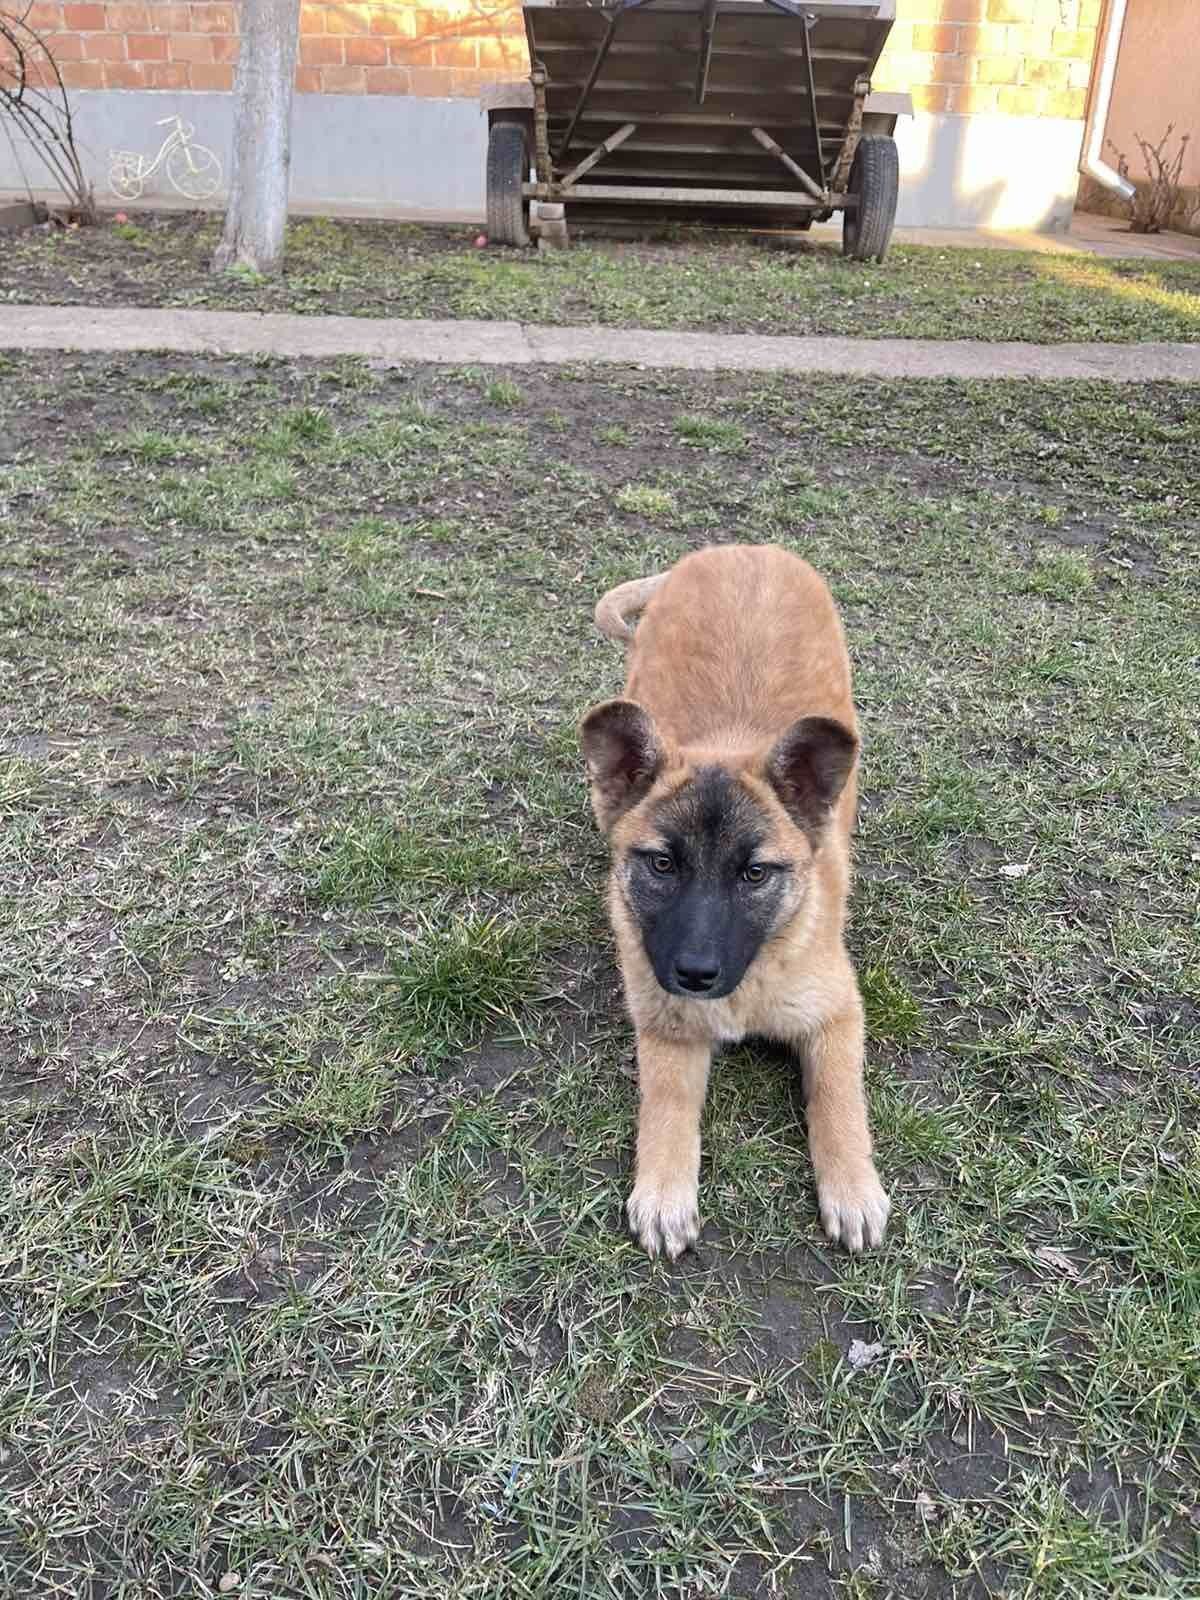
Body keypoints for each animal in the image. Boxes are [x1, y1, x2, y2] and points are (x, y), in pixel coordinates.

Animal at [582, 550, 896, 1260]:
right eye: (662, 864)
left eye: (755, 874)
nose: (696, 975)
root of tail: (744, 547)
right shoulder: (664, 1025)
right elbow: (666, 1107)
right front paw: (664, 1191)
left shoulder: (838, 1013)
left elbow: (839, 1099)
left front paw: (853, 1187)